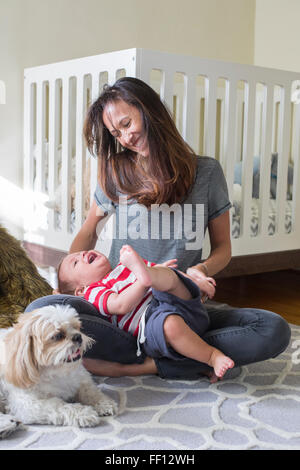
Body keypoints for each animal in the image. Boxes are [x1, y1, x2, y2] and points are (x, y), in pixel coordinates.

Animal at [0, 304, 117, 436]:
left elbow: (90, 391)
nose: (78, 336)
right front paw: (83, 413)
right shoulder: (29, 404)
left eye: (76, 327)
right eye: (58, 336)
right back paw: (8, 424)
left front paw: (103, 403)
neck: (56, 371)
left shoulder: (81, 378)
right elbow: (58, 405)